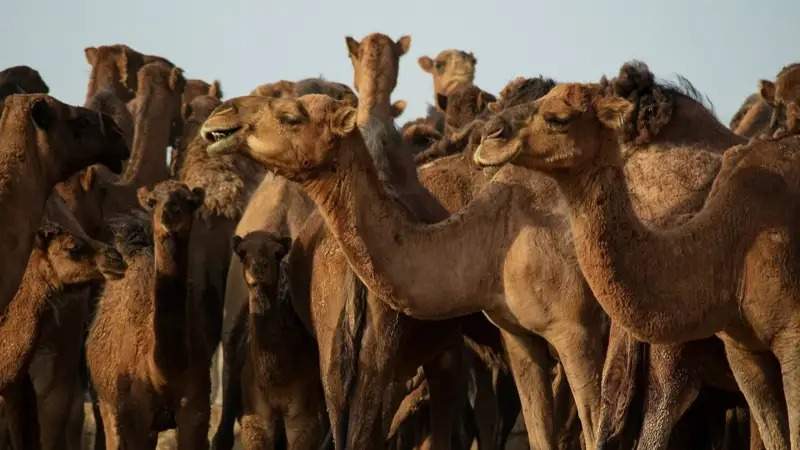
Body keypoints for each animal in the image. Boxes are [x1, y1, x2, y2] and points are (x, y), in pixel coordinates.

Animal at [87, 181, 206, 448]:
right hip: (107, 403)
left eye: (190, 201)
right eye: (152, 201)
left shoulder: (195, 410)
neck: (162, 373)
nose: (169, 213)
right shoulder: (134, 413)